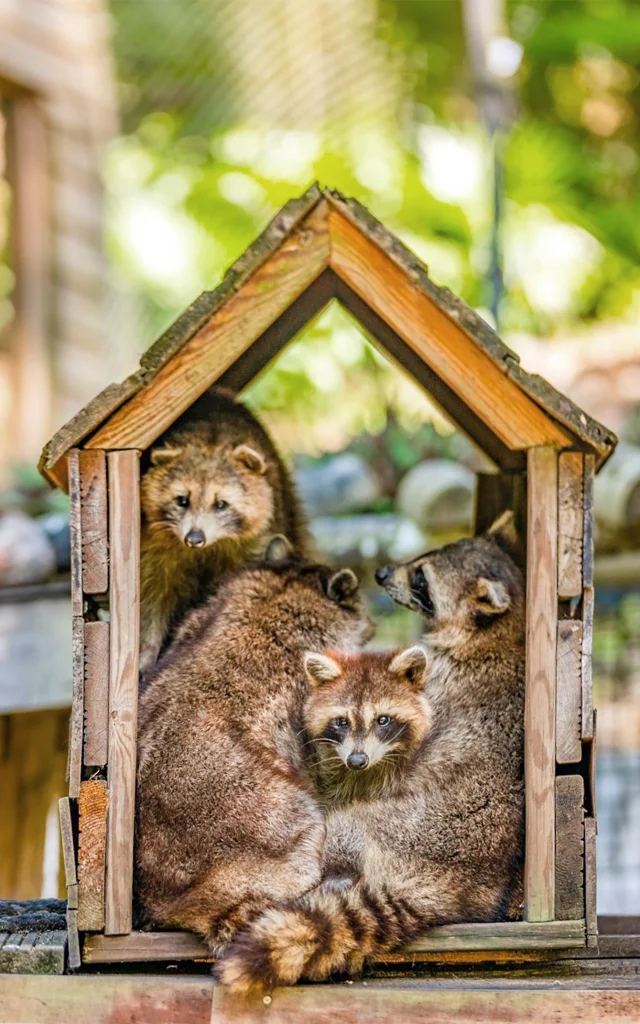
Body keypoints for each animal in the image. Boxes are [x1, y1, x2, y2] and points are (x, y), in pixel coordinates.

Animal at [138, 387, 307, 675]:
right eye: (182, 500)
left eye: (220, 504)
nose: (194, 538)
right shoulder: (155, 543)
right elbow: (152, 597)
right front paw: (146, 653)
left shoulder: (254, 541)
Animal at [215, 516, 524, 995]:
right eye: (423, 559)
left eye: (421, 577)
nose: (381, 573)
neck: (501, 630)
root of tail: (451, 883)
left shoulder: (443, 684)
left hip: (385, 830)